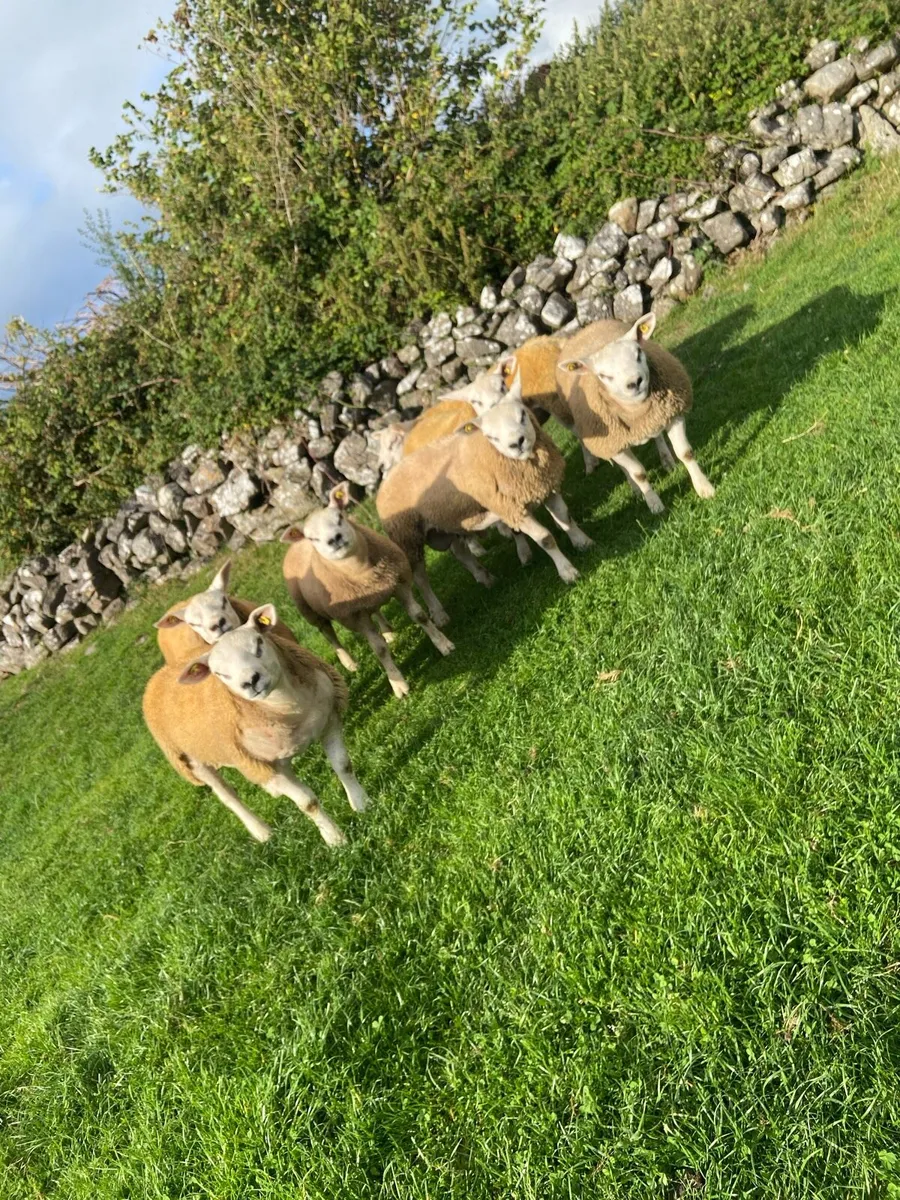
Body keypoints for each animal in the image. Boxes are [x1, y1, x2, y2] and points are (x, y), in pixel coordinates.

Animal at [142, 604, 370, 846]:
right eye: (219, 673)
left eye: (259, 644)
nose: (251, 681)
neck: (291, 709)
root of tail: (155, 678)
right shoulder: (261, 766)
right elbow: (308, 803)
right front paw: (335, 839)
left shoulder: (329, 721)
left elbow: (344, 766)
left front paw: (362, 805)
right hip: (191, 760)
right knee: (228, 796)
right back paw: (261, 831)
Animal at [281, 484, 454, 699]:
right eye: (313, 538)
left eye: (340, 516)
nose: (335, 539)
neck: (362, 572)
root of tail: (296, 545)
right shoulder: (355, 616)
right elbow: (379, 649)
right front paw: (398, 685)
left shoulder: (399, 584)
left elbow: (419, 616)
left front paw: (443, 644)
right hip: (310, 612)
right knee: (329, 634)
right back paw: (350, 663)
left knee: (376, 610)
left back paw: (388, 631)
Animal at [375, 399, 592, 607]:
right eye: (491, 437)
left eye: (522, 415)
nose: (517, 443)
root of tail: (384, 482)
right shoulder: (512, 509)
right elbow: (545, 538)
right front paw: (567, 571)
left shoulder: (546, 488)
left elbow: (566, 518)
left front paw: (583, 542)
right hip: (408, 536)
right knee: (421, 580)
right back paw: (438, 613)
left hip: (445, 522)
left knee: (461, 553)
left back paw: (485, 578)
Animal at [555, 313, 715, 513]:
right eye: (603, 375)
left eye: (639, 353)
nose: (635, 382)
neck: (636, 411)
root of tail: (584, 329)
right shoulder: (612, 443)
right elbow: (638, 474)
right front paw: (654, 503)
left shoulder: (672, 413)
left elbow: (685, 453)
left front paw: (704, 488)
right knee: (626, 468)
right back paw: (636, 490)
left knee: (657, 437)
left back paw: (667, 462)